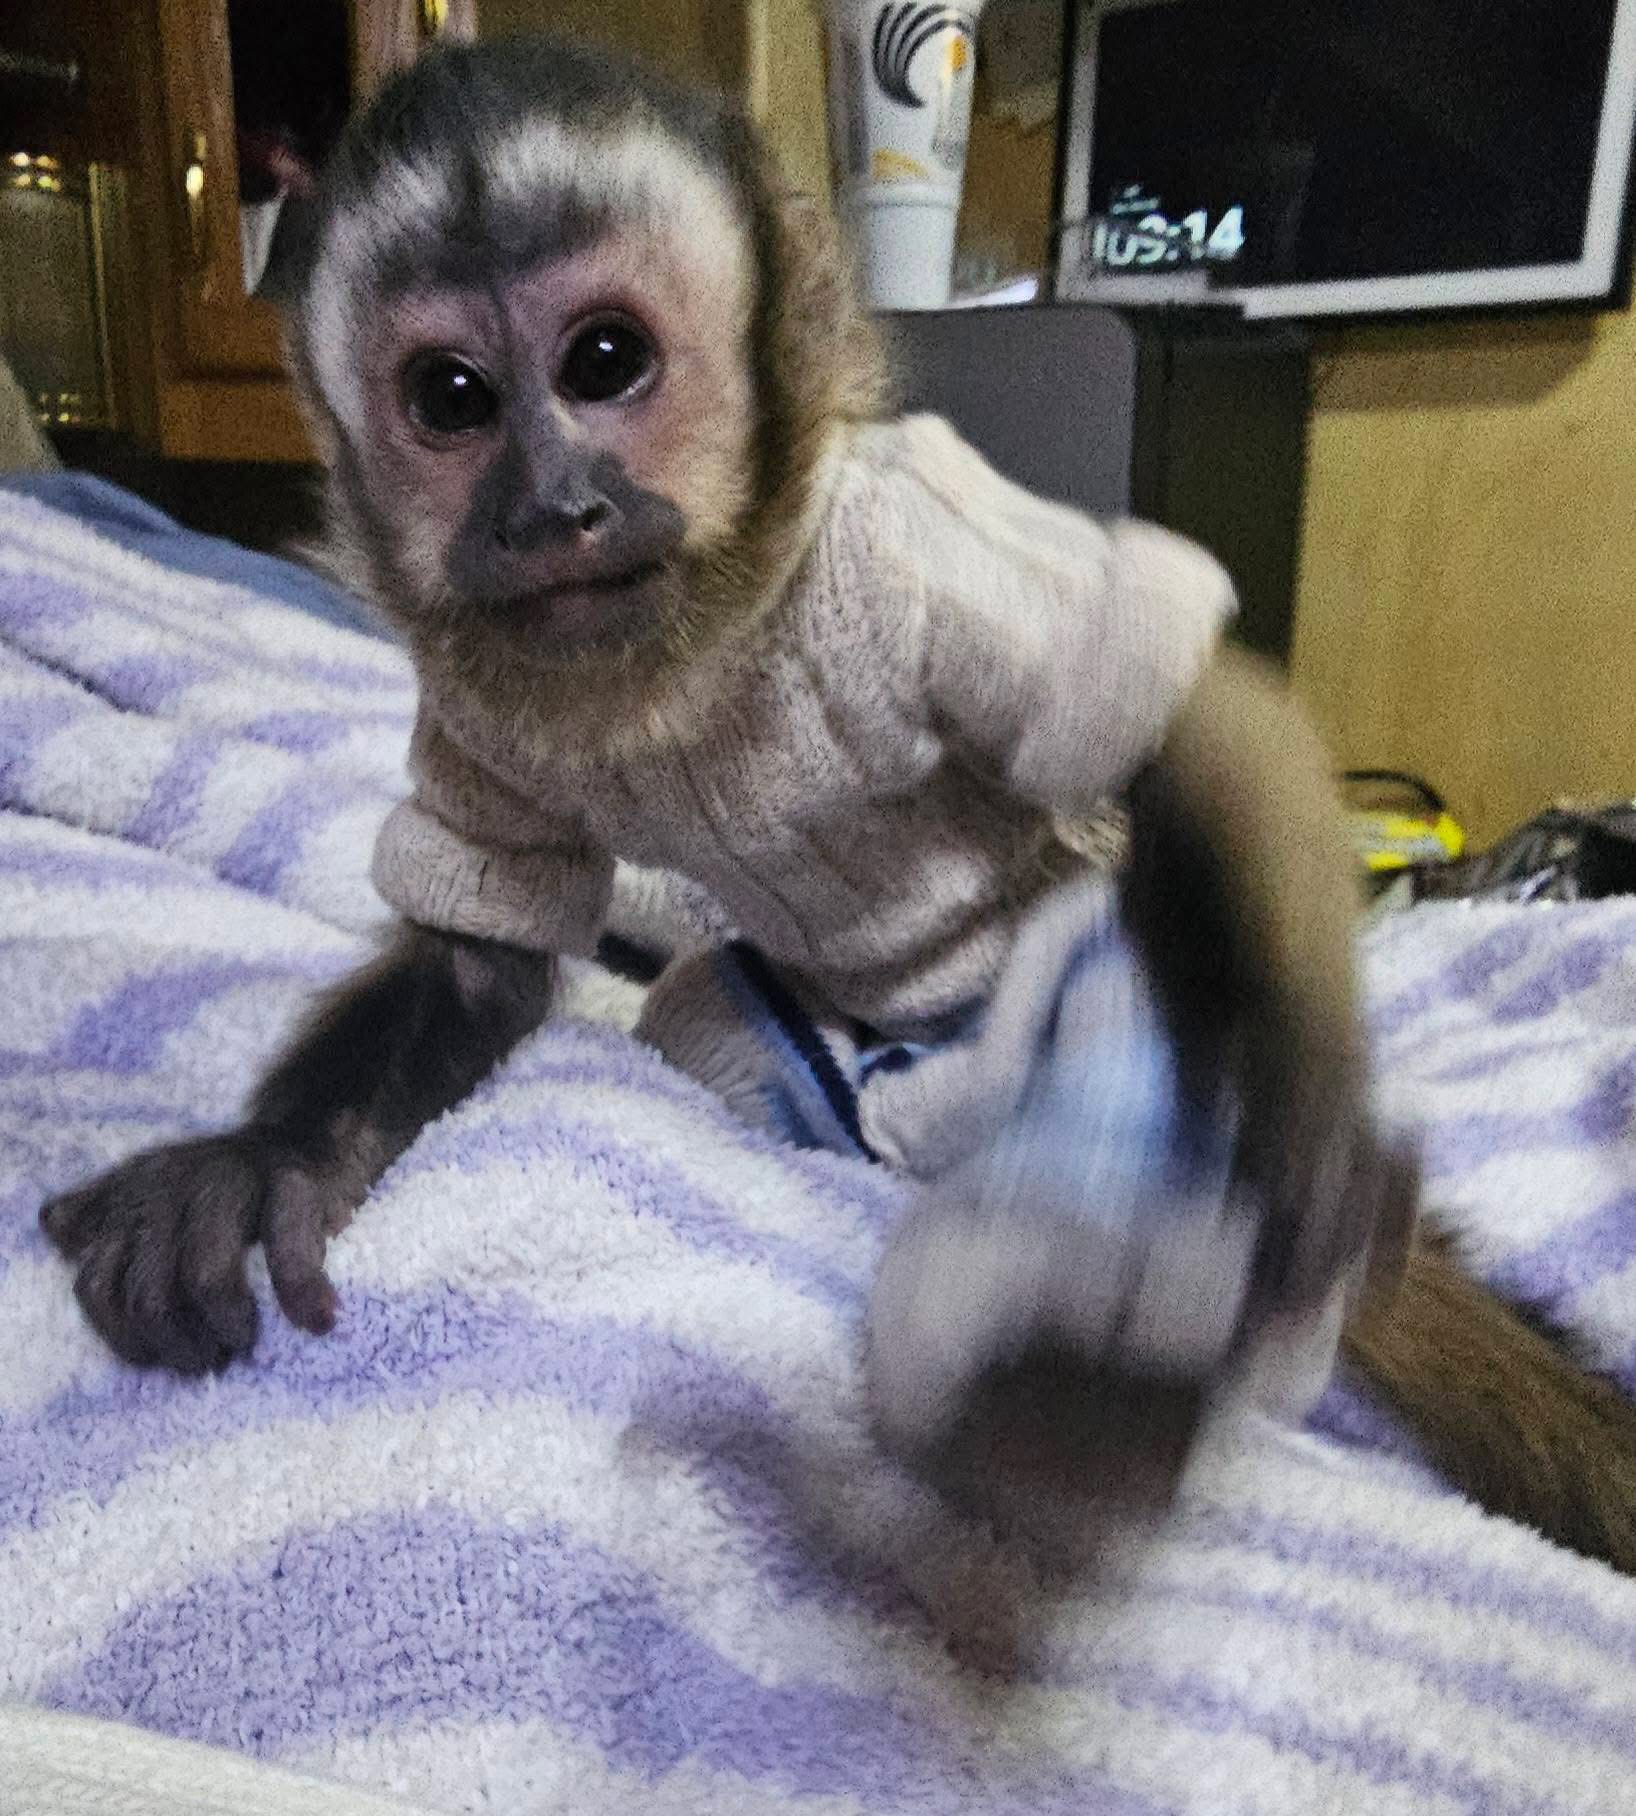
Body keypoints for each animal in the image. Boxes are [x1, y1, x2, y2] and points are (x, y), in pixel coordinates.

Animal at [38, 37, 1636, 1577]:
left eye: (605, 361)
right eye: (450, 399)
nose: (553, 508)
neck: (697, 648)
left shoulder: (907, 550)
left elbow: (1179, 713)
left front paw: (1291, 1133)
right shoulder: (484, 695)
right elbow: (478, 948)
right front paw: (260, 1170)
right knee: (711, 1027)